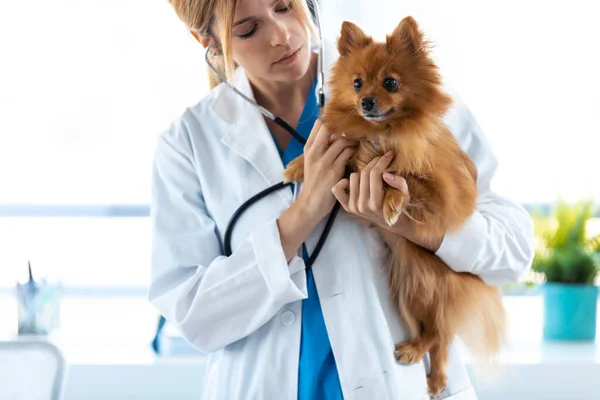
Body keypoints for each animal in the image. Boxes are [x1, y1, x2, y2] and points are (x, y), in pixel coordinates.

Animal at [284, 17, 508, 398]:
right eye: (357, 83)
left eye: (390, 82)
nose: (366, 101)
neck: (383, 132)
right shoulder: (351, 153)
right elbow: (344, 150)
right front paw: (298, 166)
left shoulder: (441, 189)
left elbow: (400, 177)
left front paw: (390, 202)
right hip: (407, 295)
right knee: (440, 337)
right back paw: (433, 375)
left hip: (425, 288)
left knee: (440, 333)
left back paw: (421, 360)